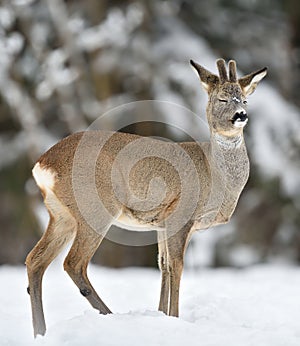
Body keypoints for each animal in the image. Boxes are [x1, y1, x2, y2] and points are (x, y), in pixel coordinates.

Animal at [25, 58, 264, 336]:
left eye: (244, 99)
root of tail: (43, 164)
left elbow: (163, 265)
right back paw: (109, 316)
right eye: (222, 99)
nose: (241, 115)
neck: (217, 176)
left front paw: (161, 315)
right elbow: (177, 266)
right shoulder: (181, 214)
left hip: (60, 214)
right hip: (95, 208)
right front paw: (175, 318)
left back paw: (40, 332)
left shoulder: (161, 222)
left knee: (35, 261)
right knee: (73, 263)